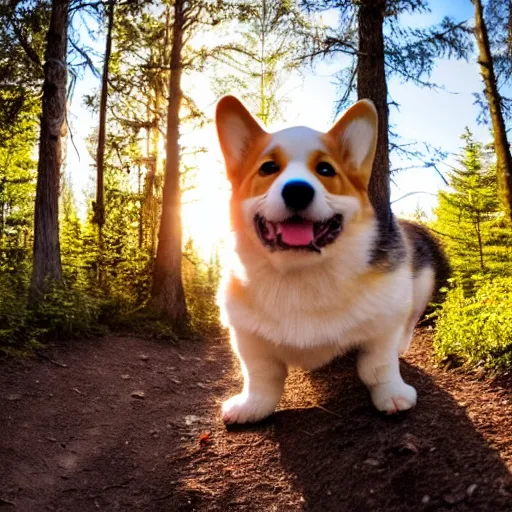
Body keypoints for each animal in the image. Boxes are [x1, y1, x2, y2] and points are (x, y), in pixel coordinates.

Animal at [214, 96, 450, 424]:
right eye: (268, 167)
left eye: (325, 169)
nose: (297, 191)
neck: (301, 274)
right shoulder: (247, 335)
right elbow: (261, 376)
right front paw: (251, 406)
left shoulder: (386, 320)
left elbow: (378, 365)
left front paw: (393, 395)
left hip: (422, 284)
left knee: (409, 324)